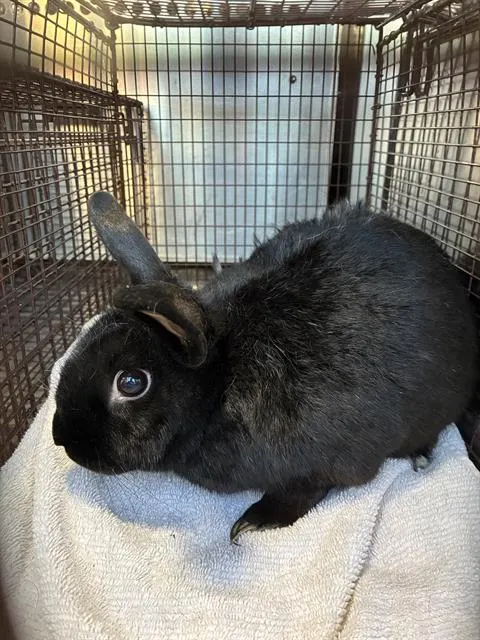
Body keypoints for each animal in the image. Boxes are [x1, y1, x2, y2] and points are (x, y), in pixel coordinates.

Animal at [52, 192, 478, 542]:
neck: (221, 377)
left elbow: (301, 494)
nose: (61, 438)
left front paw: (254, 522)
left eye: (131, 382)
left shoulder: (327, 465)